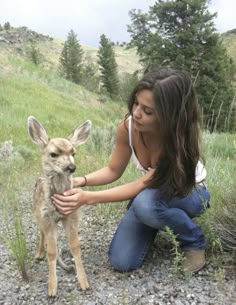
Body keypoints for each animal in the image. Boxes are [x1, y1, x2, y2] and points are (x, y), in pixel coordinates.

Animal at [27, 116, 91, 294]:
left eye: (73, 153)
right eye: (53, 154)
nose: (71, 167)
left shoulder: (72, 216)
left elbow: (75, 246)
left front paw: (84, 282)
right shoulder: (48, 219)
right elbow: (52, 252)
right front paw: (52, 288)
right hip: (38, 215)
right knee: (42, 234)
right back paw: (39, 253)